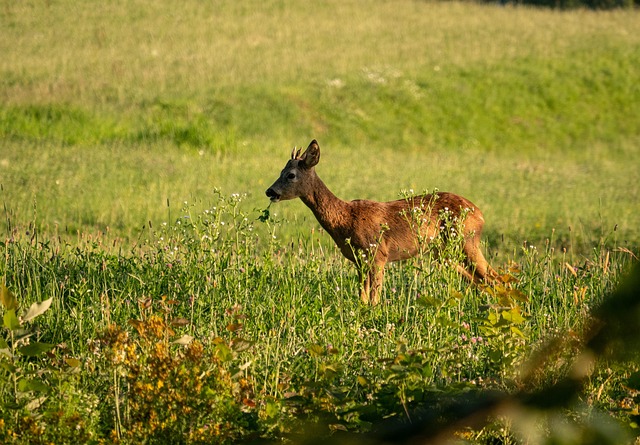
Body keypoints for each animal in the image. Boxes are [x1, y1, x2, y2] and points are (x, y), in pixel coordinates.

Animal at [264, 140, 496, 306]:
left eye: (291, 175)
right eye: (280, 171)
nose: (269, 191)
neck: (345, 219)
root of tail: (480, 214)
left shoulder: (378, 255)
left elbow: (374, 299)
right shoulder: (359, 260)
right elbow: (363, 299)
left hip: (466, 241)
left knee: (493, 276)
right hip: (444, 252)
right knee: (479, 279)